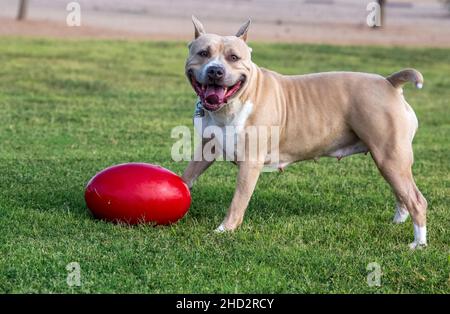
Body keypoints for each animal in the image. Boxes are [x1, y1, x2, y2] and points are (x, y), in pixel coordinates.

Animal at [182, 17, 426, 249]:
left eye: (233, 57)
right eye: (203, 53)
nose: (215, 71)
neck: (234, 102)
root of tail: (390, 83)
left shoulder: (250, 164)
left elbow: (238, 201)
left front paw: (224, 230)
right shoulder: (206, 150)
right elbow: (187, 176)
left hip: (390, 157)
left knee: (417, 200)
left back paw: (418, 243)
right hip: (390, 161)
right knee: (402, 193)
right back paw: (398, 221)